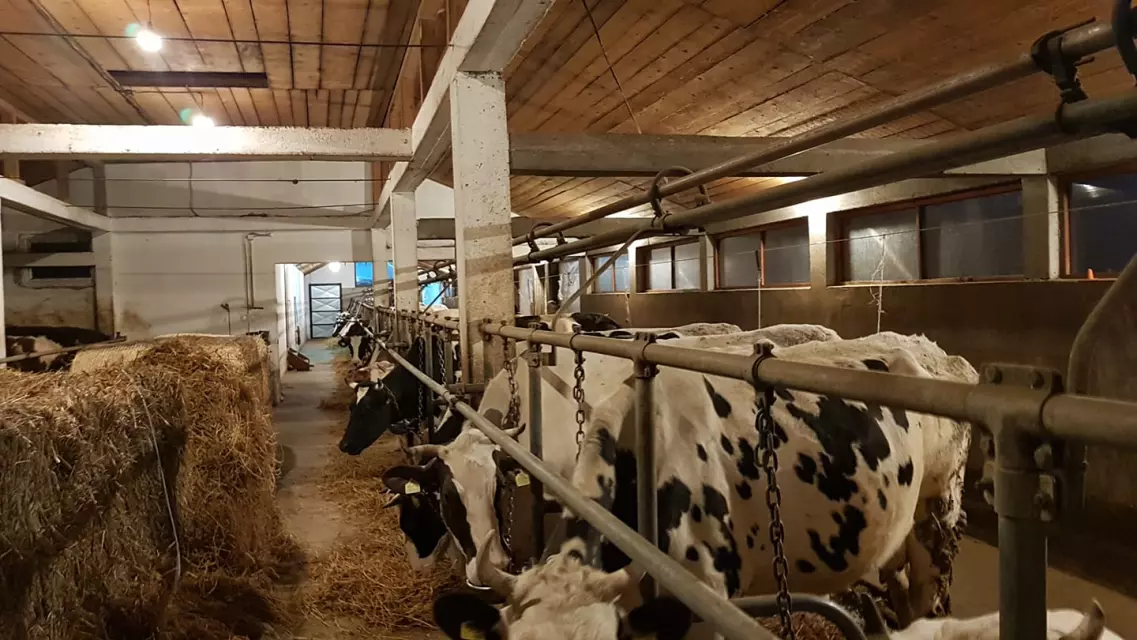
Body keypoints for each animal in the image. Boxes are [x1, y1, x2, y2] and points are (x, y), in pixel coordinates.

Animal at [440, 333, 977, 638]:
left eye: (496, 491)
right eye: (446, 499)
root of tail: (945, 357)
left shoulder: (706, 602)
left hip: (939, 511)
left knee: (931, 594)